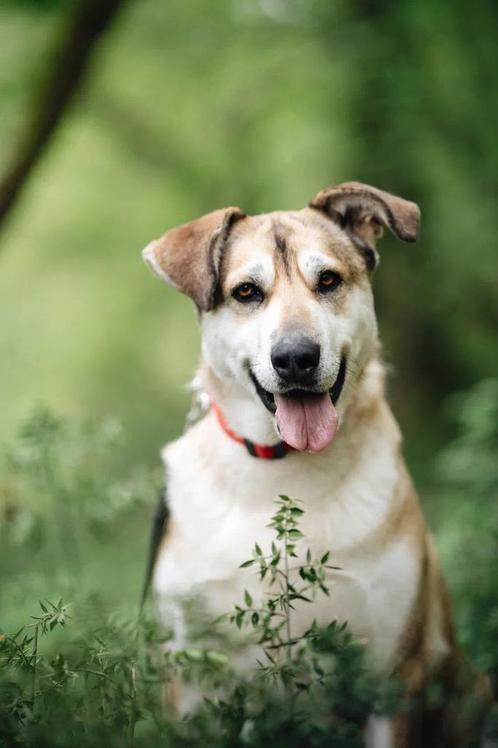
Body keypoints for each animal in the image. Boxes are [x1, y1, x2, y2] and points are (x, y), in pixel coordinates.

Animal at [141, 183, 490, 748]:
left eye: (328, 280)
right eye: (246, 292)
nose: (296, 358)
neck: (280, 468)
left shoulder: (392, 676)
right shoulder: (191, 674)